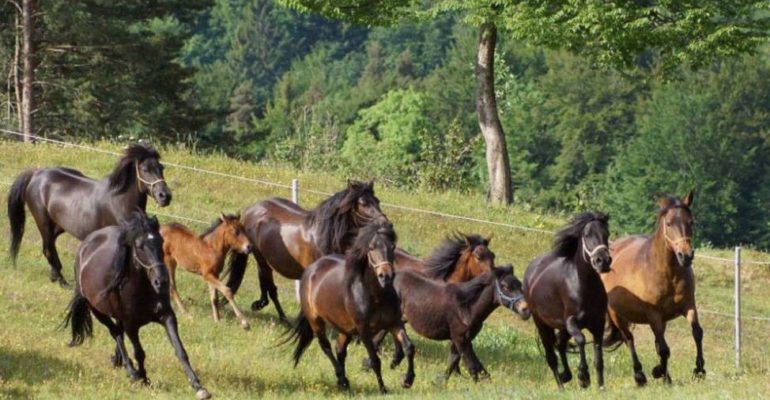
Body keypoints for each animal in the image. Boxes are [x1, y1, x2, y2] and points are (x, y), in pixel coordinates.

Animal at [7, 144, 170, 288]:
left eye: (161, 168)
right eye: (145, 169)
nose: (165, 196)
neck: (119, 202)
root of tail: (36, 174)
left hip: (58, 226)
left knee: (50, 247)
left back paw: (55, 276)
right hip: (43, 223)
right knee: (48, 249)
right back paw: (63, 283)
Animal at [63, 212, 210, 400]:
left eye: (161, 242)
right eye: (140, 246)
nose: (162, 281)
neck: (142, 290)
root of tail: (84, 247)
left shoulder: (167, 316)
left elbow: (180, 350)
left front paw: (198, 386)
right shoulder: (131, 325)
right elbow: (139, 352)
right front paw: (143, 378)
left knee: (118, 332)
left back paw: (118, 361)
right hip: (98, 311)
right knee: (116, 334)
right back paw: (131, 371)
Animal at [226, 180, 384, 320]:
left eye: (377, 201)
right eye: (363, 203)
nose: (384, 222)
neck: (323, 236)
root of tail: (252, 209)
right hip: (261, 259)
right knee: (270, 286)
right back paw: (281, 317)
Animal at [284, 219, 414, 394]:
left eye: (392, 247)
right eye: (371, 247)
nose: (386, 276)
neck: (375, 296)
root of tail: (310, 270)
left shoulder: (394, 322)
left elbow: (409, 347)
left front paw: (407, 380)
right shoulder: (363, 331)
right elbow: (375, 360)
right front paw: (383, 389)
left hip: (344, 328)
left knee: (340, 349)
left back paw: (342, 382)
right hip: (316, 322)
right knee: (326, 346)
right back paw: (343, 380)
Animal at [600, 192, 704, 386]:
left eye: (691, 222)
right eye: (669, 223)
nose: (686, 255)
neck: (668, 273)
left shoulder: (688, 305)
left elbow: (697, 332)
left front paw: (699, 370)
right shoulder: (653, 314)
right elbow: (663, 349)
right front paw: (657, 372)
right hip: (618, 315)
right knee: (629, 339)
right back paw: (640, 376)